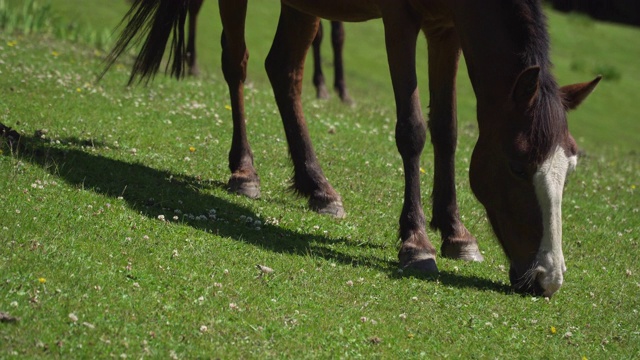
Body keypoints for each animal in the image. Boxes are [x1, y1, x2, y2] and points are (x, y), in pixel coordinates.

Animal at [180, 0, 350, 102]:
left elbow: (338, 36)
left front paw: (343, 91)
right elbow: (318, 36)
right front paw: (321, 87)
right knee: (194, 8)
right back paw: (192, 64)